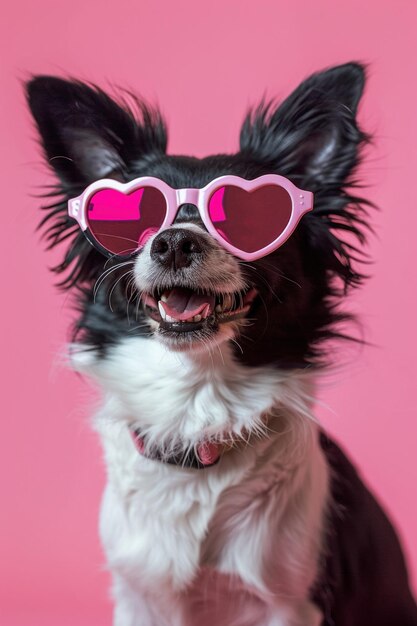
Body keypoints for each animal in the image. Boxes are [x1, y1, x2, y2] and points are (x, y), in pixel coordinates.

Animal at [27, 59, 416, 624]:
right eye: (135, 215)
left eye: (251, 216)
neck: (195, 408)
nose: (173, 242)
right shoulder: (137, 598)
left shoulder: (289, 604)